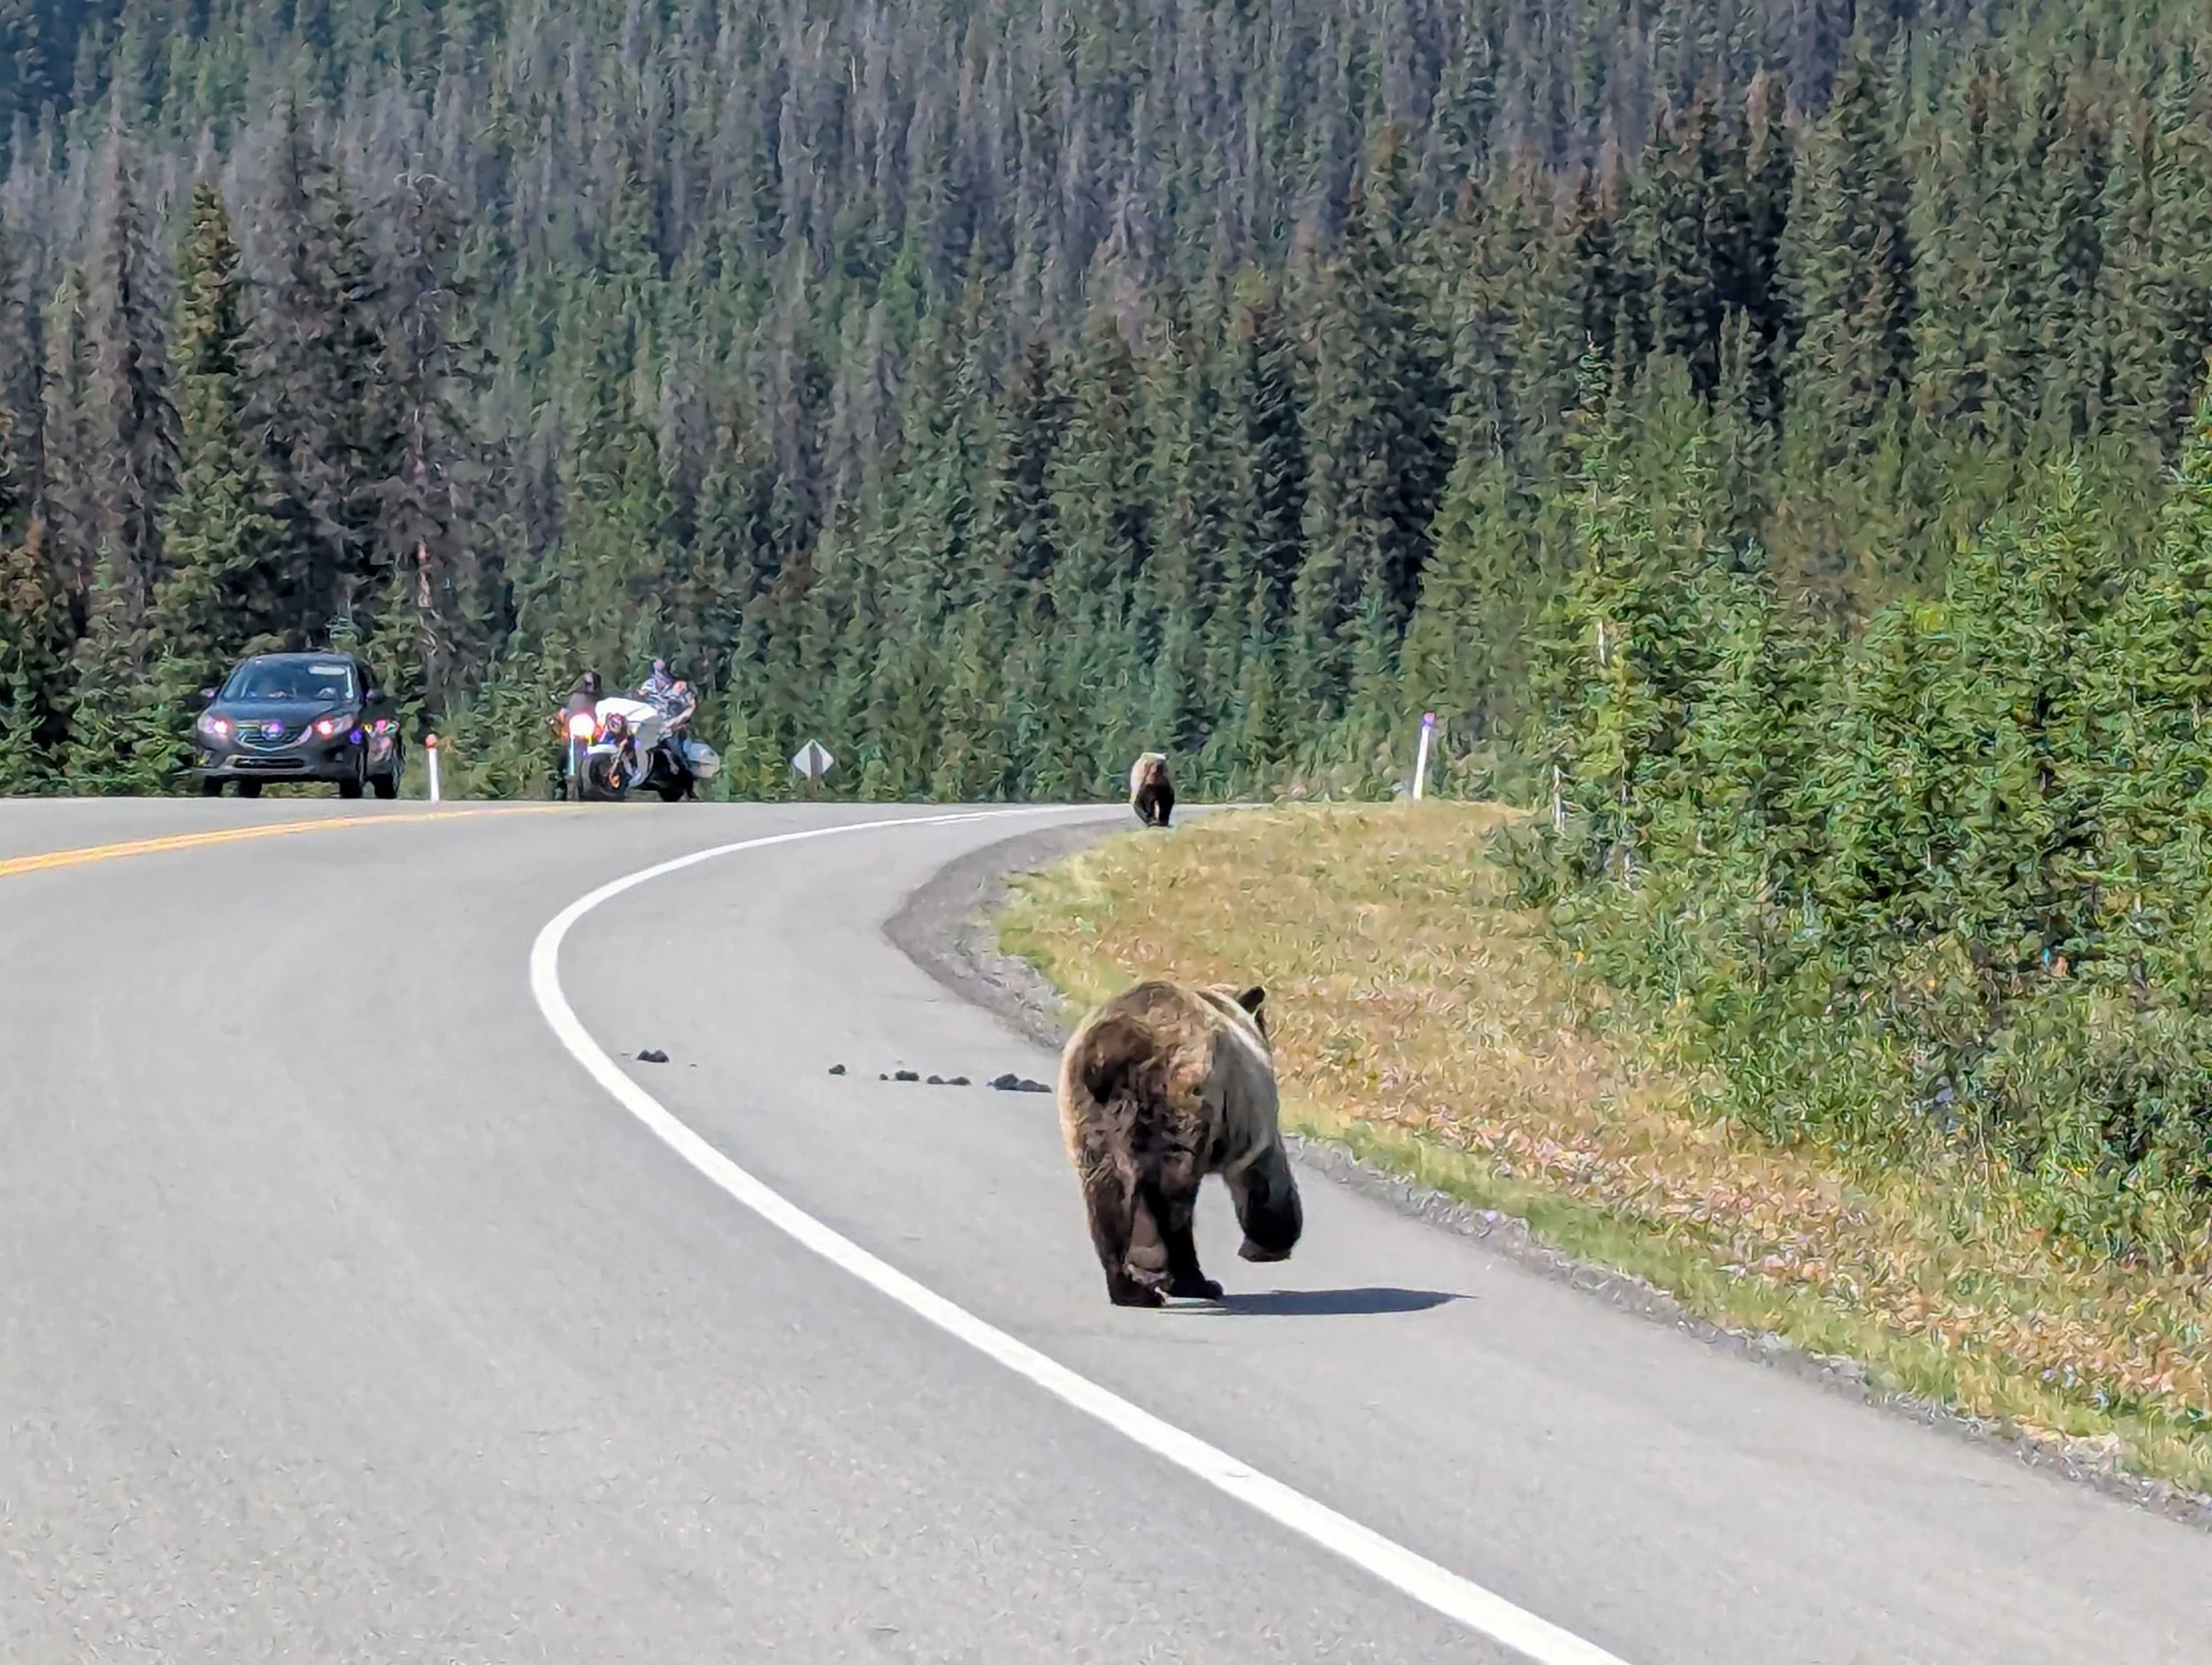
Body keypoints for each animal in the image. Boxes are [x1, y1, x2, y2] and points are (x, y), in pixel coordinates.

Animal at [1055, 979, 1304, 1307]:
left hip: (1089, 1116)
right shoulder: (1248, 1111)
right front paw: (1269, 1243)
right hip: (1181, 1095)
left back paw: (1130, 1288)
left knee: (1107, 1195)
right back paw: (1192, 1280)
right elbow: (1263, 1173)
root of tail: (1114, 1047)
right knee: (1172, 1199)